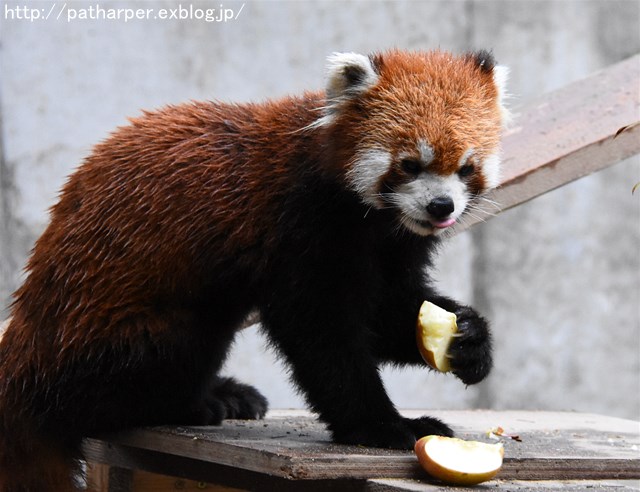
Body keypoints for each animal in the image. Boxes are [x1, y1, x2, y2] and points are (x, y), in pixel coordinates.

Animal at [1, 49, 510, 488]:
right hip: (124, 329)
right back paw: (197, 402)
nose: (441, 206)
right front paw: (383, 425)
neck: (369, 220)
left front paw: (471, 340)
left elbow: (390, 312)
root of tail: (24, 352)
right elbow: (320, 331)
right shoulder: (299, 225)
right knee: (161, 355)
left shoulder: (393, 244)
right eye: (409, 164)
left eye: (466, 168)